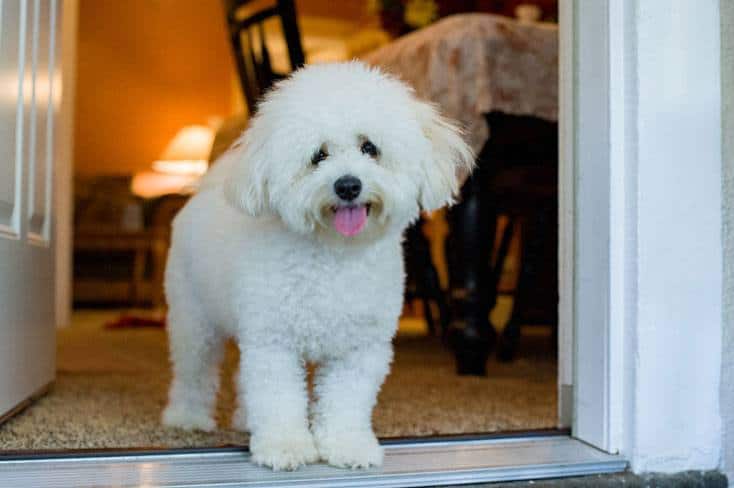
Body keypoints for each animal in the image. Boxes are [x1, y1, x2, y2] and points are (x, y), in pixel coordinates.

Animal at [163, 61, 474, 468]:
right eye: (318, 155)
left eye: (369, 148)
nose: (348, 185)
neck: (334, 257)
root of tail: (208, 189)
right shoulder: (274, 342)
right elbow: (279, 399)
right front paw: (285, 446)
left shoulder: (358, 350)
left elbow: (345, 403)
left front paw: (347, 446)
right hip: (194, 320)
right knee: (193, 372)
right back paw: (186, 417)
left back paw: (245, 420)